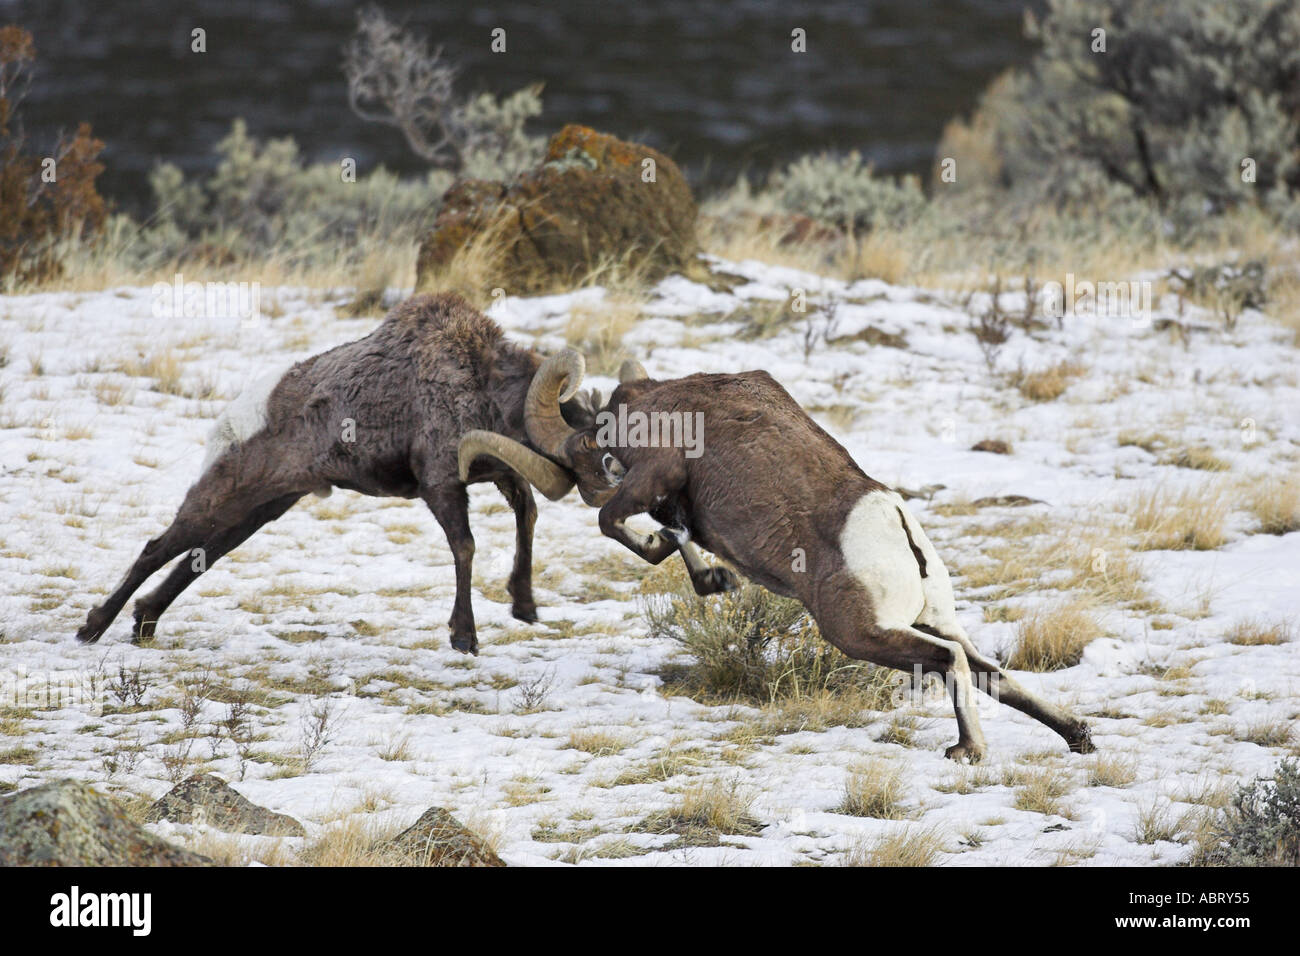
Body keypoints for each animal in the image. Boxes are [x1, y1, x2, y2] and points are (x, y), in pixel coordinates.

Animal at [75, 293, 601, 653]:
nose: (604, 491)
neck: (475, 383)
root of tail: (232, 421)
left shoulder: (500, 475)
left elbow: (526, 518)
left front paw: (525, 607)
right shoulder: (441, 487)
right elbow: (466, 548)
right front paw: (464, 638)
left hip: (260, 511)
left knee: (200, 557)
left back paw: (144, 624)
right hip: (222, 500)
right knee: (156, 548)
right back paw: (93, 628)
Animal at [460, 349, 1096, 761]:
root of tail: (895, 527)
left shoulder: (654, 475)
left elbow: (619, 523)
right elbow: (678, 536)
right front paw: (712, 580)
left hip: (859, 633)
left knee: (949, 662)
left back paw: (967, 751)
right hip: (932, 618)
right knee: (992, 672)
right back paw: (1078, 738)